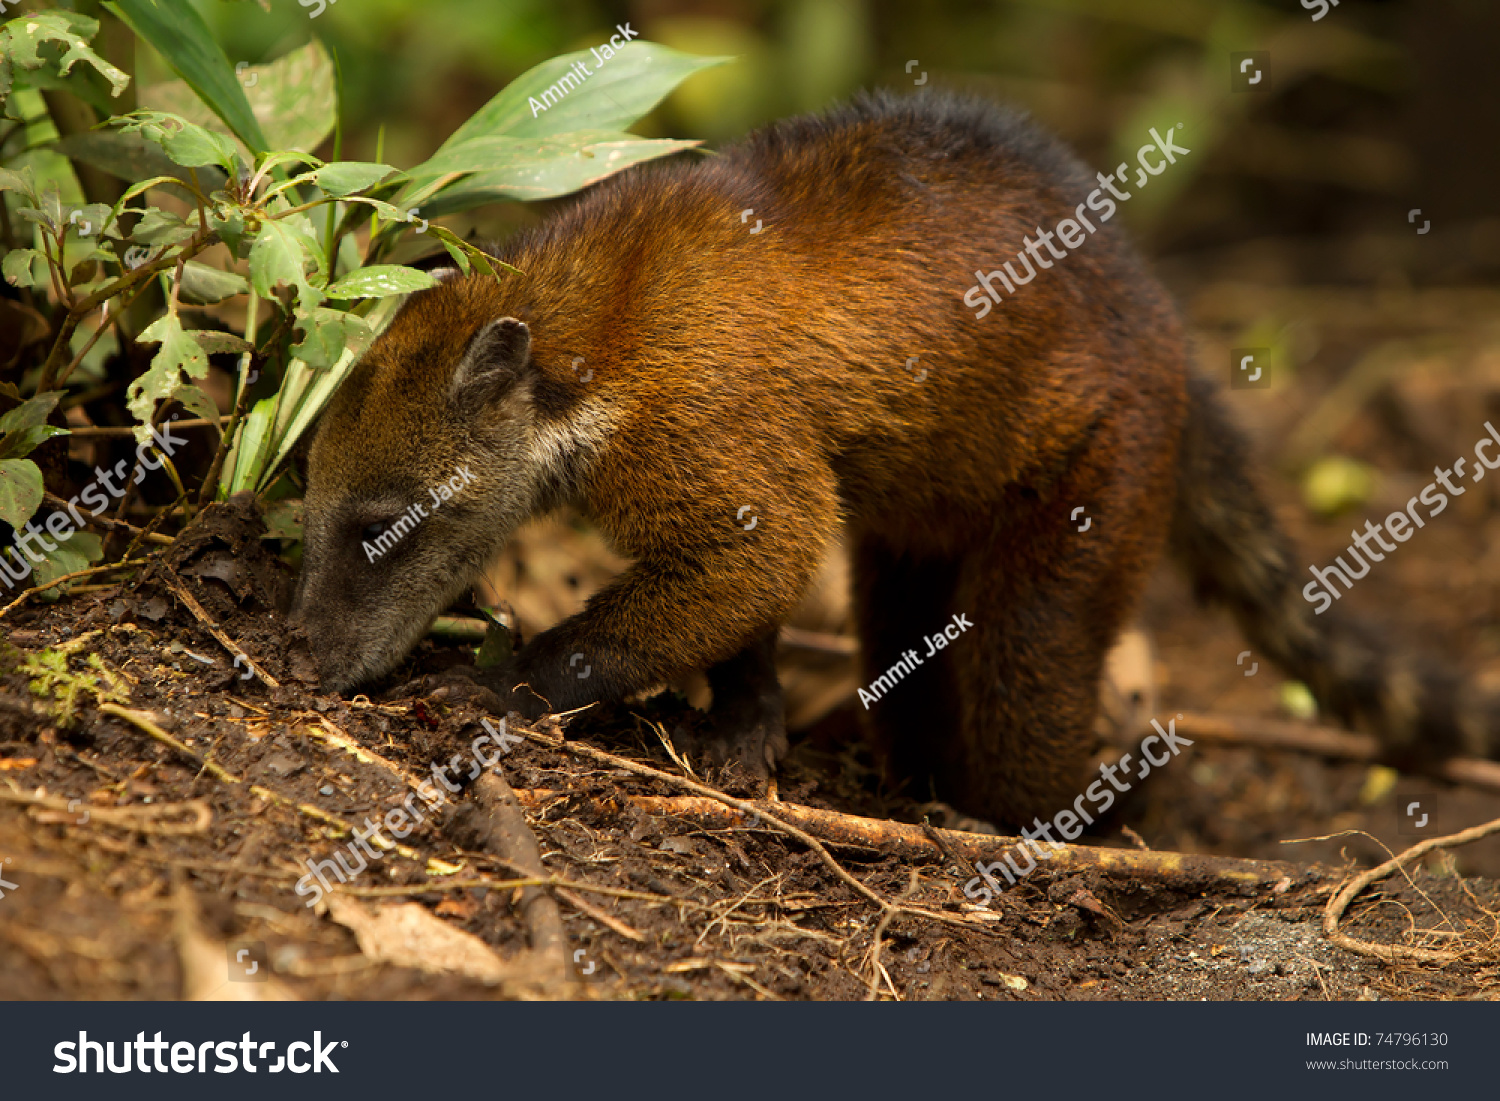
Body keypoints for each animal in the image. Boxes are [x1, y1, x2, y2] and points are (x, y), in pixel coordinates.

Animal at [295, 90, 1500, 828]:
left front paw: (508, 679)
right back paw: (913, 772)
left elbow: (763, 548)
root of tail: (1167, 332)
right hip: (931, 516)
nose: (306, 666)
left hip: (1107, 468)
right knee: (906, 628)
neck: (584, 328)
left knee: (1029, 659)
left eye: (383, 527)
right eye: (308, 502)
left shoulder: (697, 418)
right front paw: (748, 717)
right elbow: (760, 574)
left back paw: (1070, 812)